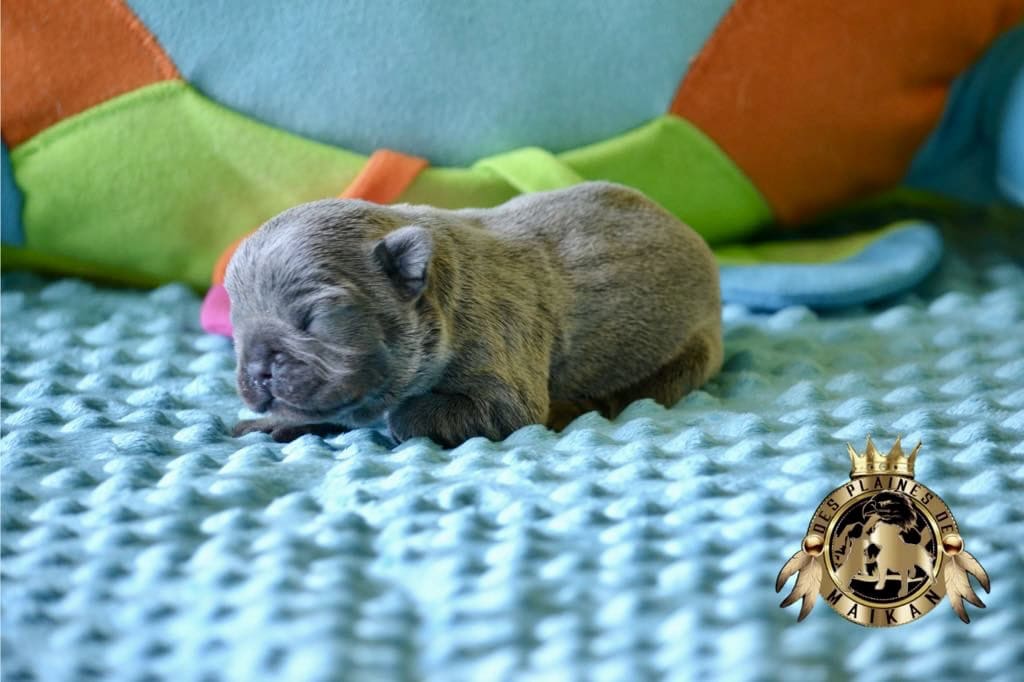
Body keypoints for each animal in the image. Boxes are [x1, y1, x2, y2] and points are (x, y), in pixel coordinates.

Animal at [226, 180, 720, 446]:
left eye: (315, 319)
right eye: (236, 325)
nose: (259, 369)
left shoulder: (501, 362)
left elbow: (420, 414)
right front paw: (277, 421)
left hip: (685, 355)